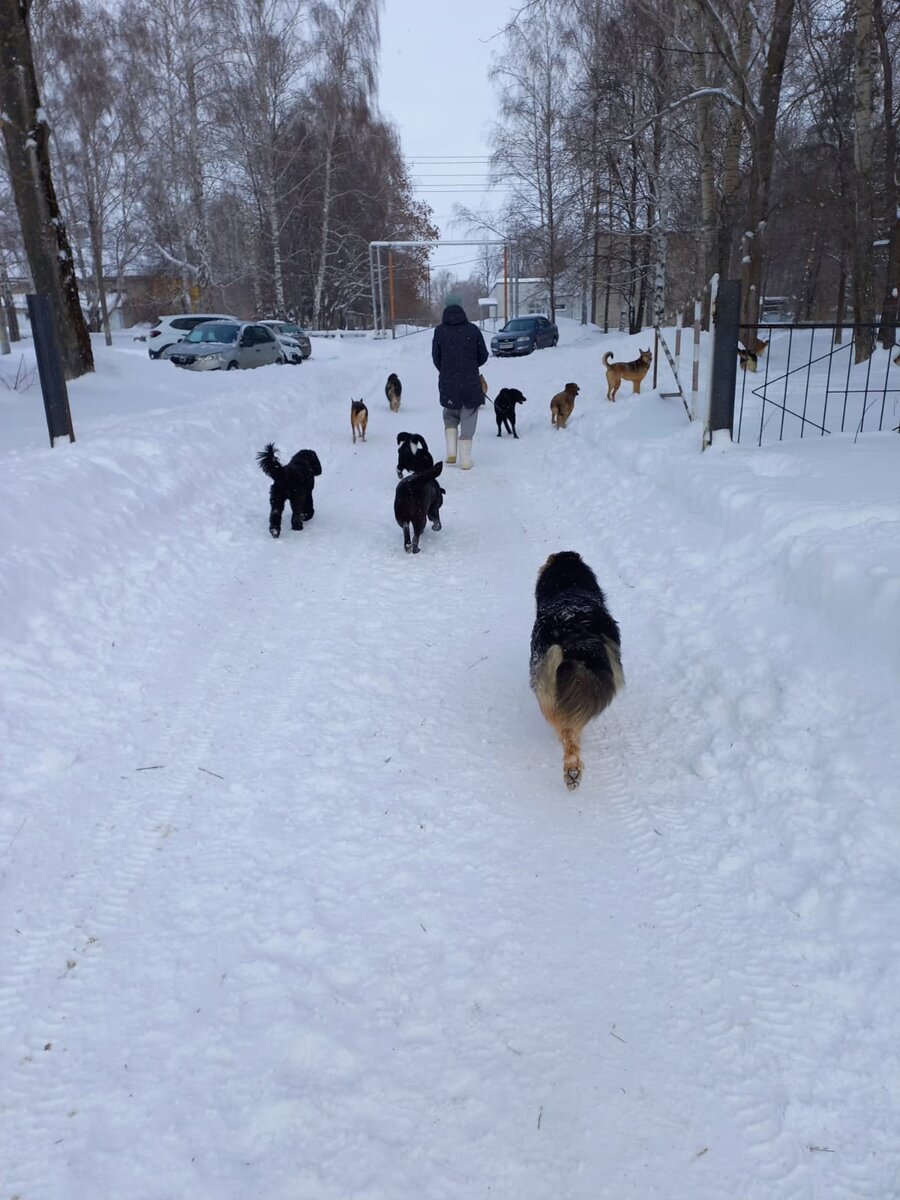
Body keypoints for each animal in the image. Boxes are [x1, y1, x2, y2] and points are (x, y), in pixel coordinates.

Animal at [532, 549, 624, 792]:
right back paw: (573, 771)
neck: (568, 584)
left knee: (567, 734)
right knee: (570, 733)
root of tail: (575, 638)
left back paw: (572, 771)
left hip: (546, 686)